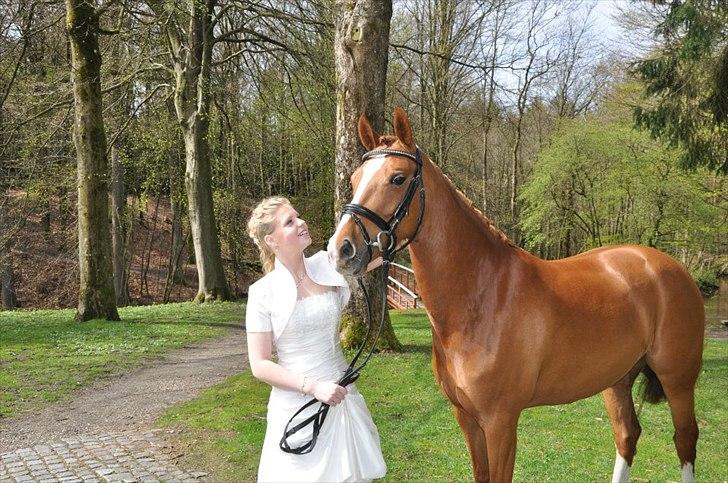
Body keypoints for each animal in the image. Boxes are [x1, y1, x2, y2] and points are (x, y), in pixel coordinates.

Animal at [327, 107, 705, 482]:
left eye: (398, 178)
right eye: (355, 179)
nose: (341, 250)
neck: (482, 298)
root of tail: (671, 267)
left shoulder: (501, 421)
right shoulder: (466, 418)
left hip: (678, 379)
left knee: (685, 438)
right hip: (617, 379)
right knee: (627, 435)